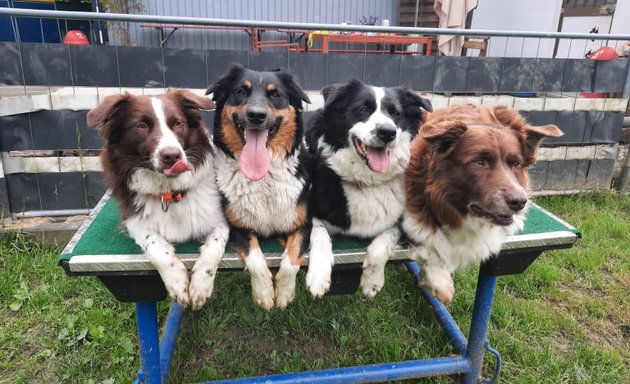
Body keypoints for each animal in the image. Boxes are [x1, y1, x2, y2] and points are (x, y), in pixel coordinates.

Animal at [87, 89, 228, 308]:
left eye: (177, 123)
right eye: (141, 126)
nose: (172, 156)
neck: (168, 192)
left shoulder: (220, 220)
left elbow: (214, 246)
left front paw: (200, 286)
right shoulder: (133, 220)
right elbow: (156, 246)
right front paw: (177, 282)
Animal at [209, 64, 312, 310]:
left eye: (276, 95)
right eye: (241, 91)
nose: (256, 115)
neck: (264, 178)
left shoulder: (303, 225)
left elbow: (291, 259)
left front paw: (284, 294)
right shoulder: (237, 227)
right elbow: (255, 258)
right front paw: (264, 293)